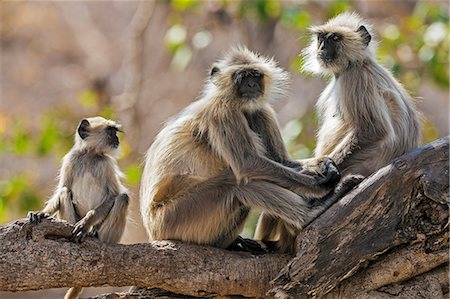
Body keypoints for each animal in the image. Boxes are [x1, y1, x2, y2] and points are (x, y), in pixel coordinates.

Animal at [27, 116, 128, 299]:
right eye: (111, 132)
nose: (117, 140)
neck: (91, 155)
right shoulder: (71, 159)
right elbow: (63, 188)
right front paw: (41, 214)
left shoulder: (107, 164)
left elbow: (114, 196)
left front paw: (86, 223)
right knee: (65, 192)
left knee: (123, 198)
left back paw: (94, 234)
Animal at [141, 47, 342, 255]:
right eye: (242, 76)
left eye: (255, 75)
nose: (251, 84)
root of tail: (153, 232)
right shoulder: (222, 111)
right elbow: (248, 164)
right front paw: (320, 185)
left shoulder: (260, 111)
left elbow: (282, 161)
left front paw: (324, 164)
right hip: (174, 219)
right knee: (237, 185)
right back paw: (309, 213)